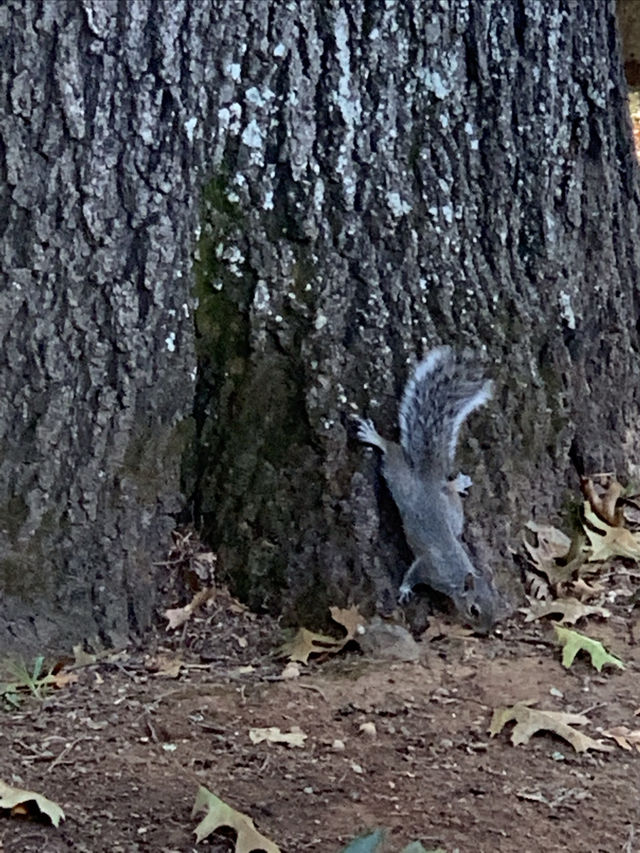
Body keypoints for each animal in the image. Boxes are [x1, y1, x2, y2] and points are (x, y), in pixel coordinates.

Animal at [356, 344, 500, 632]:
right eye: (474, 610)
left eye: (496, 602)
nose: (486, 632)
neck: (455, 575)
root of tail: (427, 478)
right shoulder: (428, 567)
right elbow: (413, 573)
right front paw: (404, 590)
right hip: (401, 480)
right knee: (392, 454)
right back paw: (374, 437)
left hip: (453, 511)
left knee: (448, 490)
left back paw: (458, 483)